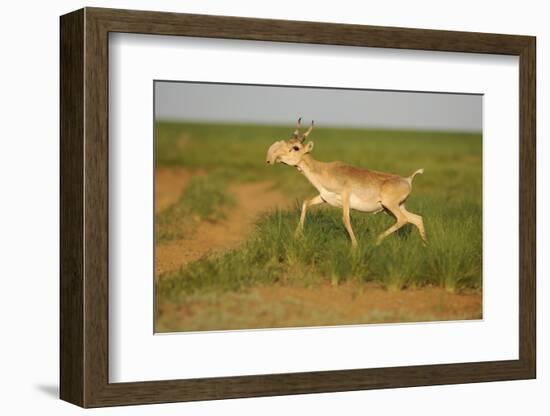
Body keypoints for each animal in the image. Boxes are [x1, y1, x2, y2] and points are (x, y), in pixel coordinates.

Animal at [266, 118, 426, 245]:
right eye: (288, 142)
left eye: (296, 147)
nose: (273, 158)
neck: (325, 170)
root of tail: (407, 179)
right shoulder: (324, 198)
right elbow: (305, 203)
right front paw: (296, 235)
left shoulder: (345, 199)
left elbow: (345, 219)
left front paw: (355, 247)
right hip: (392, 208)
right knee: (417, 218)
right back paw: (425, 246)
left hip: (390, 206)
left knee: (403, 219)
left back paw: (377, 240)